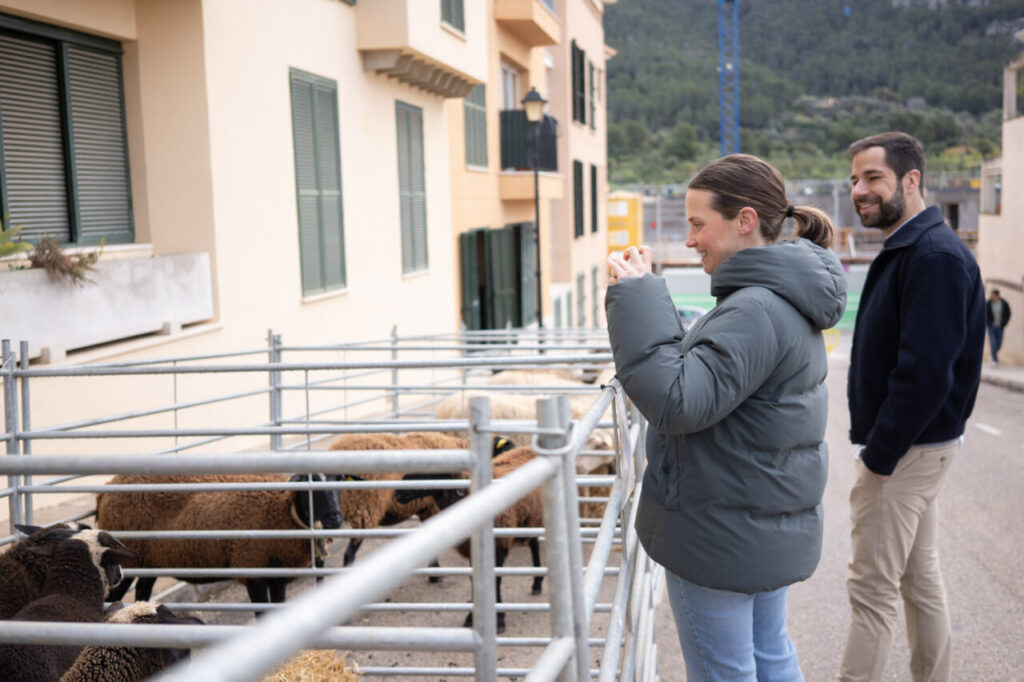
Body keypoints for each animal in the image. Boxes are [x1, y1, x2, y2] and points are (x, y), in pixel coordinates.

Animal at [95, 472, 343, 607]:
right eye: (311, 488)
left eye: (338, 483)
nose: (336, 518)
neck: (283, 509)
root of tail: (106, 489)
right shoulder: (252, 571)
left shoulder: (277, 576)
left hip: (150, 562)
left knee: (141, 594)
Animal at [327, 432, 512, 573]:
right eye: (505, 450)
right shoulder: (432, 508)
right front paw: (435, 573)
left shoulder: (425, 509)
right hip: (363, 511)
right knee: (348, 555)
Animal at [396, 445, 543, 634]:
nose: (397, 492)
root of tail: (526, 448)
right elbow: (475, 581)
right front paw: (472, 617)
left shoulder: (499, 544)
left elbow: (495, 580)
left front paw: (499, 620)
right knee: (534, 542)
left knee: (535, 545)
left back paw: (538, 584)